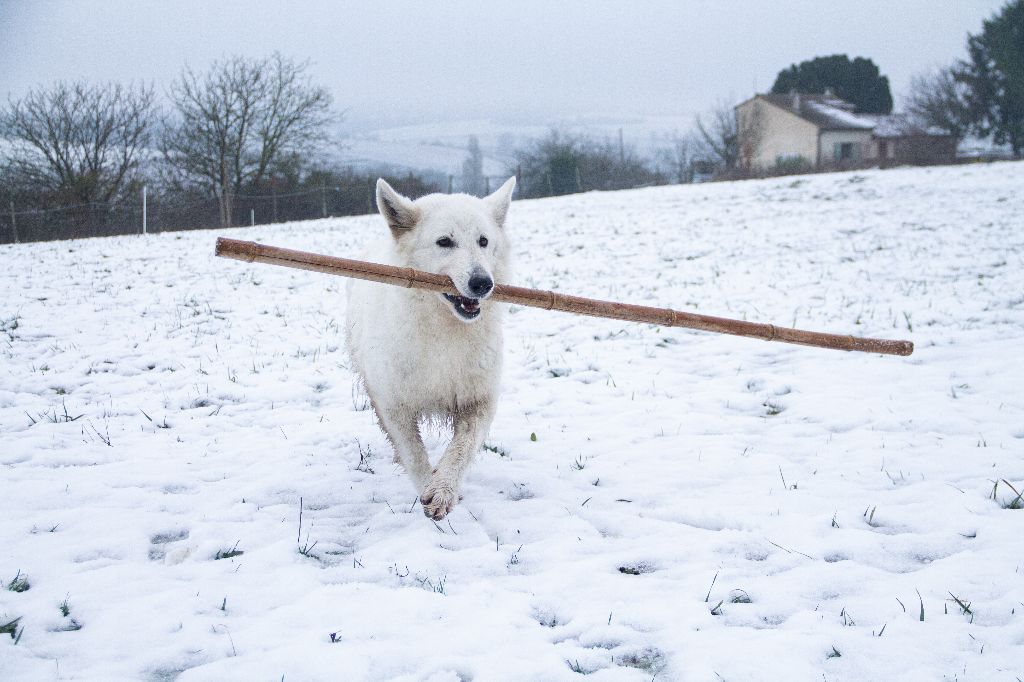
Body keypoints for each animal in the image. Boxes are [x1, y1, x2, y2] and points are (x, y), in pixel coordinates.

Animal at [348, 178, 516, 518]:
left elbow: (462, 448)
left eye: (483, 241)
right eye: (444, 242)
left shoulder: (478, 399)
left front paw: (443, 489)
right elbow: (412, 452)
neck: (444, 327)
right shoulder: (393, 404)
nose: (483, 283)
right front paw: (428, 486)